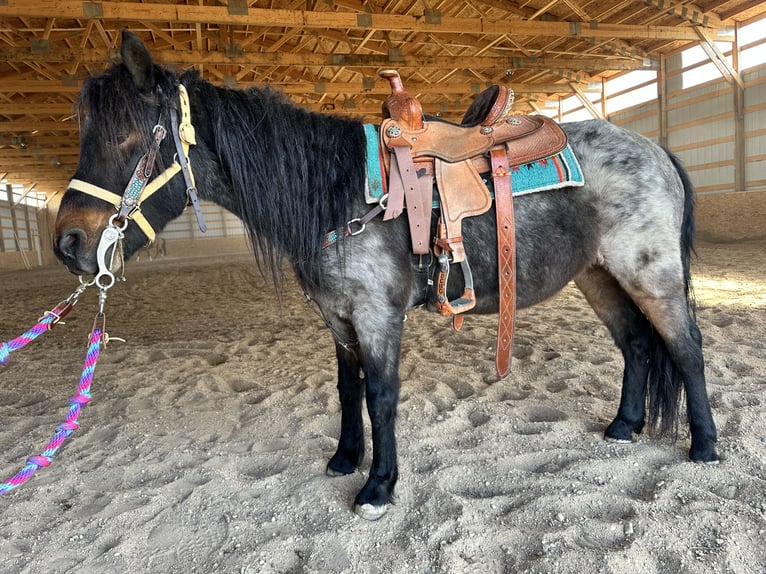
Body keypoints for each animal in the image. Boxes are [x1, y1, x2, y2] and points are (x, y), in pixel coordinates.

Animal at [55, 32, 720, 528]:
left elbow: (381, 394)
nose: (68, 244)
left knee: (685, 347)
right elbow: (348, 390)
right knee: (637, 344)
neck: (338, 192)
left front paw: (378, 486)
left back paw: (705, 446)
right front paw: (345, 458)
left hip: (650, 273)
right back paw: (623, 427)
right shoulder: (337, 316)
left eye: (128, 136)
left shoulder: (377, 315)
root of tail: (655, 149)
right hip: (598, 276)